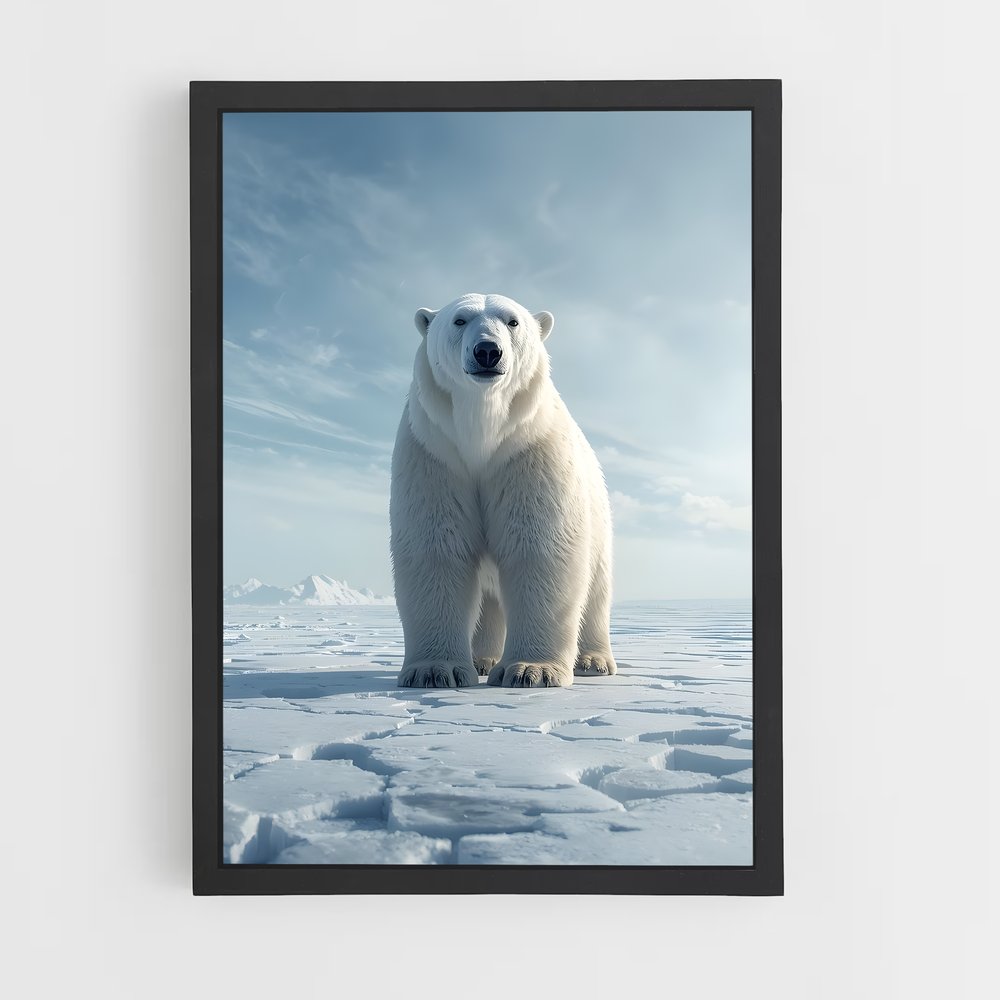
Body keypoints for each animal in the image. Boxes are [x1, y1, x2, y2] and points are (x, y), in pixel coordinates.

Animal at [390, 292, 617, 689]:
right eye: (459, 320)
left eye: (512, 321)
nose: (487, 351)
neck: (482, 433)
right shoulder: (435, 455)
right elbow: (436, 549)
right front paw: (433, 671)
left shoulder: (529, 453)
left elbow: (538, 548)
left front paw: (531, 670)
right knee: (489, 600)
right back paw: (482, 660)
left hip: (598, 518)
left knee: (595, 591)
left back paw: (593, 661)